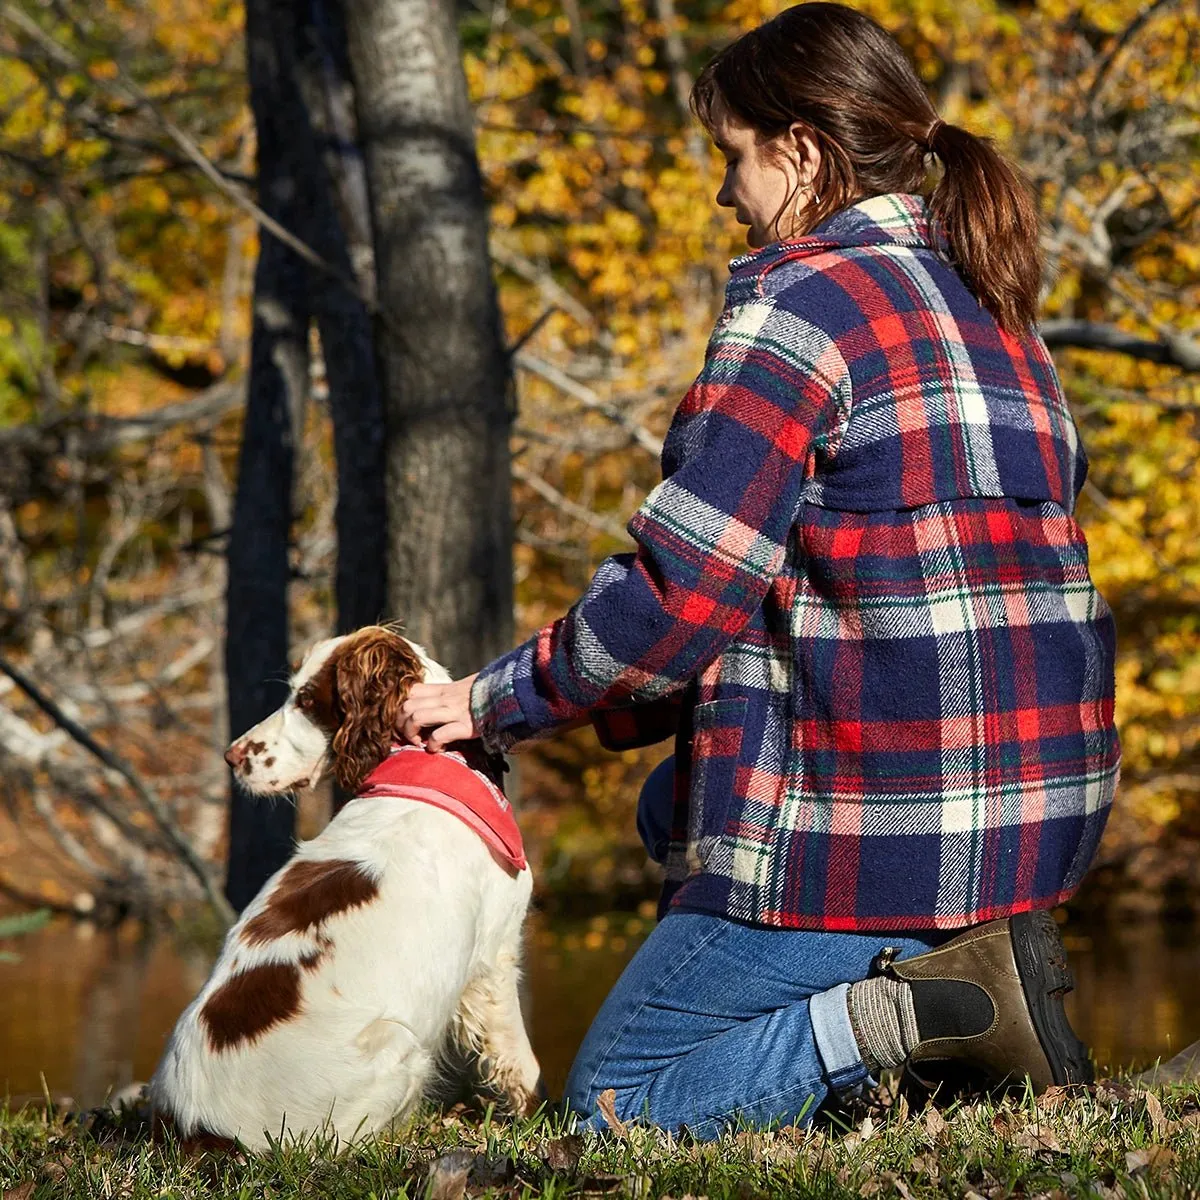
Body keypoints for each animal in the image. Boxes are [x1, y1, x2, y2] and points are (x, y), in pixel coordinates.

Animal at [150, 624, 540, 1147]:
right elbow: (522, 1063)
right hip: (398, 1043)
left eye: (306, 701)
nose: (231, 757)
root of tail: (195, 1126)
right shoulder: (495, 960)